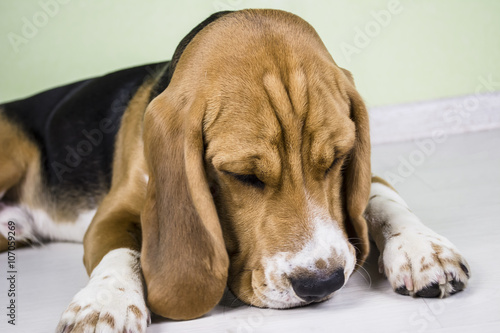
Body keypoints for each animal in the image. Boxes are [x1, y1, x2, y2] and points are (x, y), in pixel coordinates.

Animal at [0, 9, 468, 330]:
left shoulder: (365, 176)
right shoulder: (111, 214)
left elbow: (382, 198)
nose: (322, 283)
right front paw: (106, 302)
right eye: (244, 176)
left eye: (337, 159)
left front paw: (422, 248)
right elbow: (121, 250)